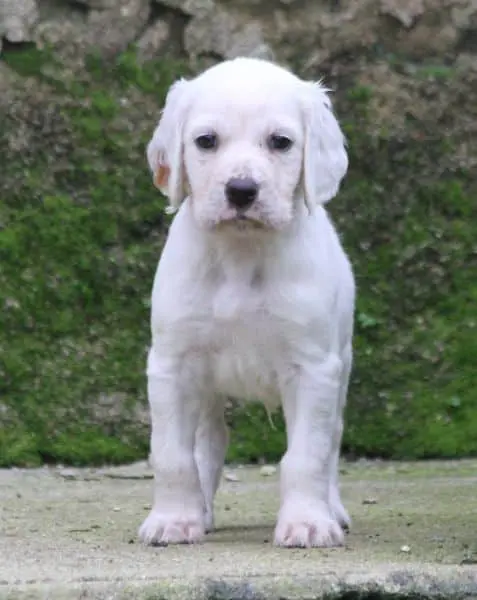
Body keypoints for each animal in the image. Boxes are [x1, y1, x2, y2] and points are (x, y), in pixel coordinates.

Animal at [138, 57, 355, 548]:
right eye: (206, 141)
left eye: (280, 142)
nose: (241, 190)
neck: (240, 255)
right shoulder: (172, 366)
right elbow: (172, 455)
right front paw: (173, 520)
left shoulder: (314, 369)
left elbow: (307, 456)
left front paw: (308, 522)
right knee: (208, 443)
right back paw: (200, 511)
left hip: (342, 366)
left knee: (332, 440)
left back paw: (332, 508)